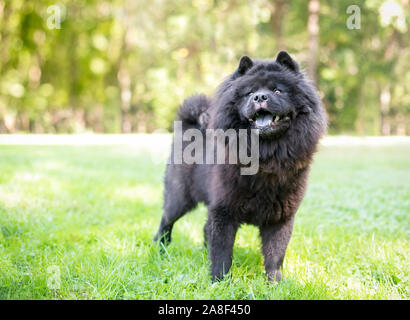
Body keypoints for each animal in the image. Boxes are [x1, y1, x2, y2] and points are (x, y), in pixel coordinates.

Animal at [154, 51, 326, 282]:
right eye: (249, 93)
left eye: (277, 90)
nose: (260, 97)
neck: (265, 156)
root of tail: (190, 128)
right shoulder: (224, 210)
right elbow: (222, 252)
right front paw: (218, 282)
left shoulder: (280, 217)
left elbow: (275, 255)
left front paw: (275, 283)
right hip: (180, 197)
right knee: (166, 220)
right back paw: (160, 249)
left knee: (204, 229)